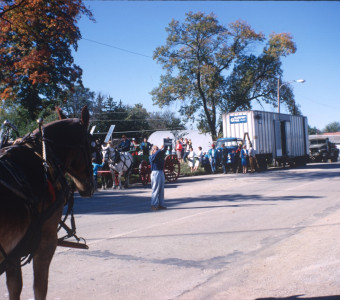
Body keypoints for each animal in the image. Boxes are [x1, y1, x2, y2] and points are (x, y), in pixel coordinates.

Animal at [0, 106, 94, 298]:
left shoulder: (13, 254)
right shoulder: (46, 242)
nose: (90, 185)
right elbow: (39, 288)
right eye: (90, 145)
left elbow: (14, 287)